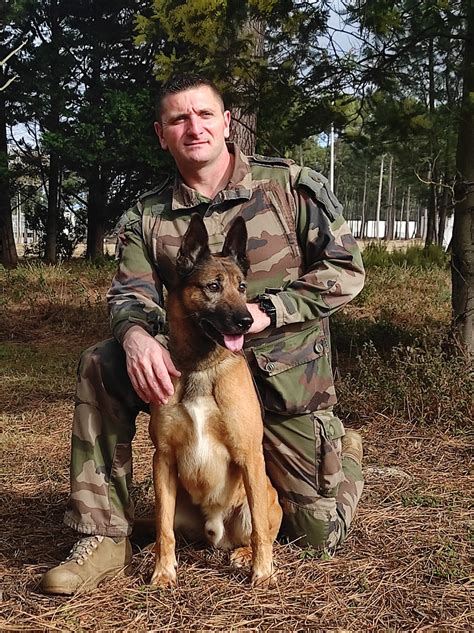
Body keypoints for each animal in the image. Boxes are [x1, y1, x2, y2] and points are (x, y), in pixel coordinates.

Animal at [148, 214, 282, 588]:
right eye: (212, 286)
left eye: (242, 287)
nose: (247, 321)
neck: (200, 366)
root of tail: (217, 533)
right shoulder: (162, 457)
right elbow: (163, 529)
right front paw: (163, 570)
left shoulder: (249, 454)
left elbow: (261, 533)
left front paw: (262, 572)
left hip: (260, 499)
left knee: (262, 531)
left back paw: (246, 555)